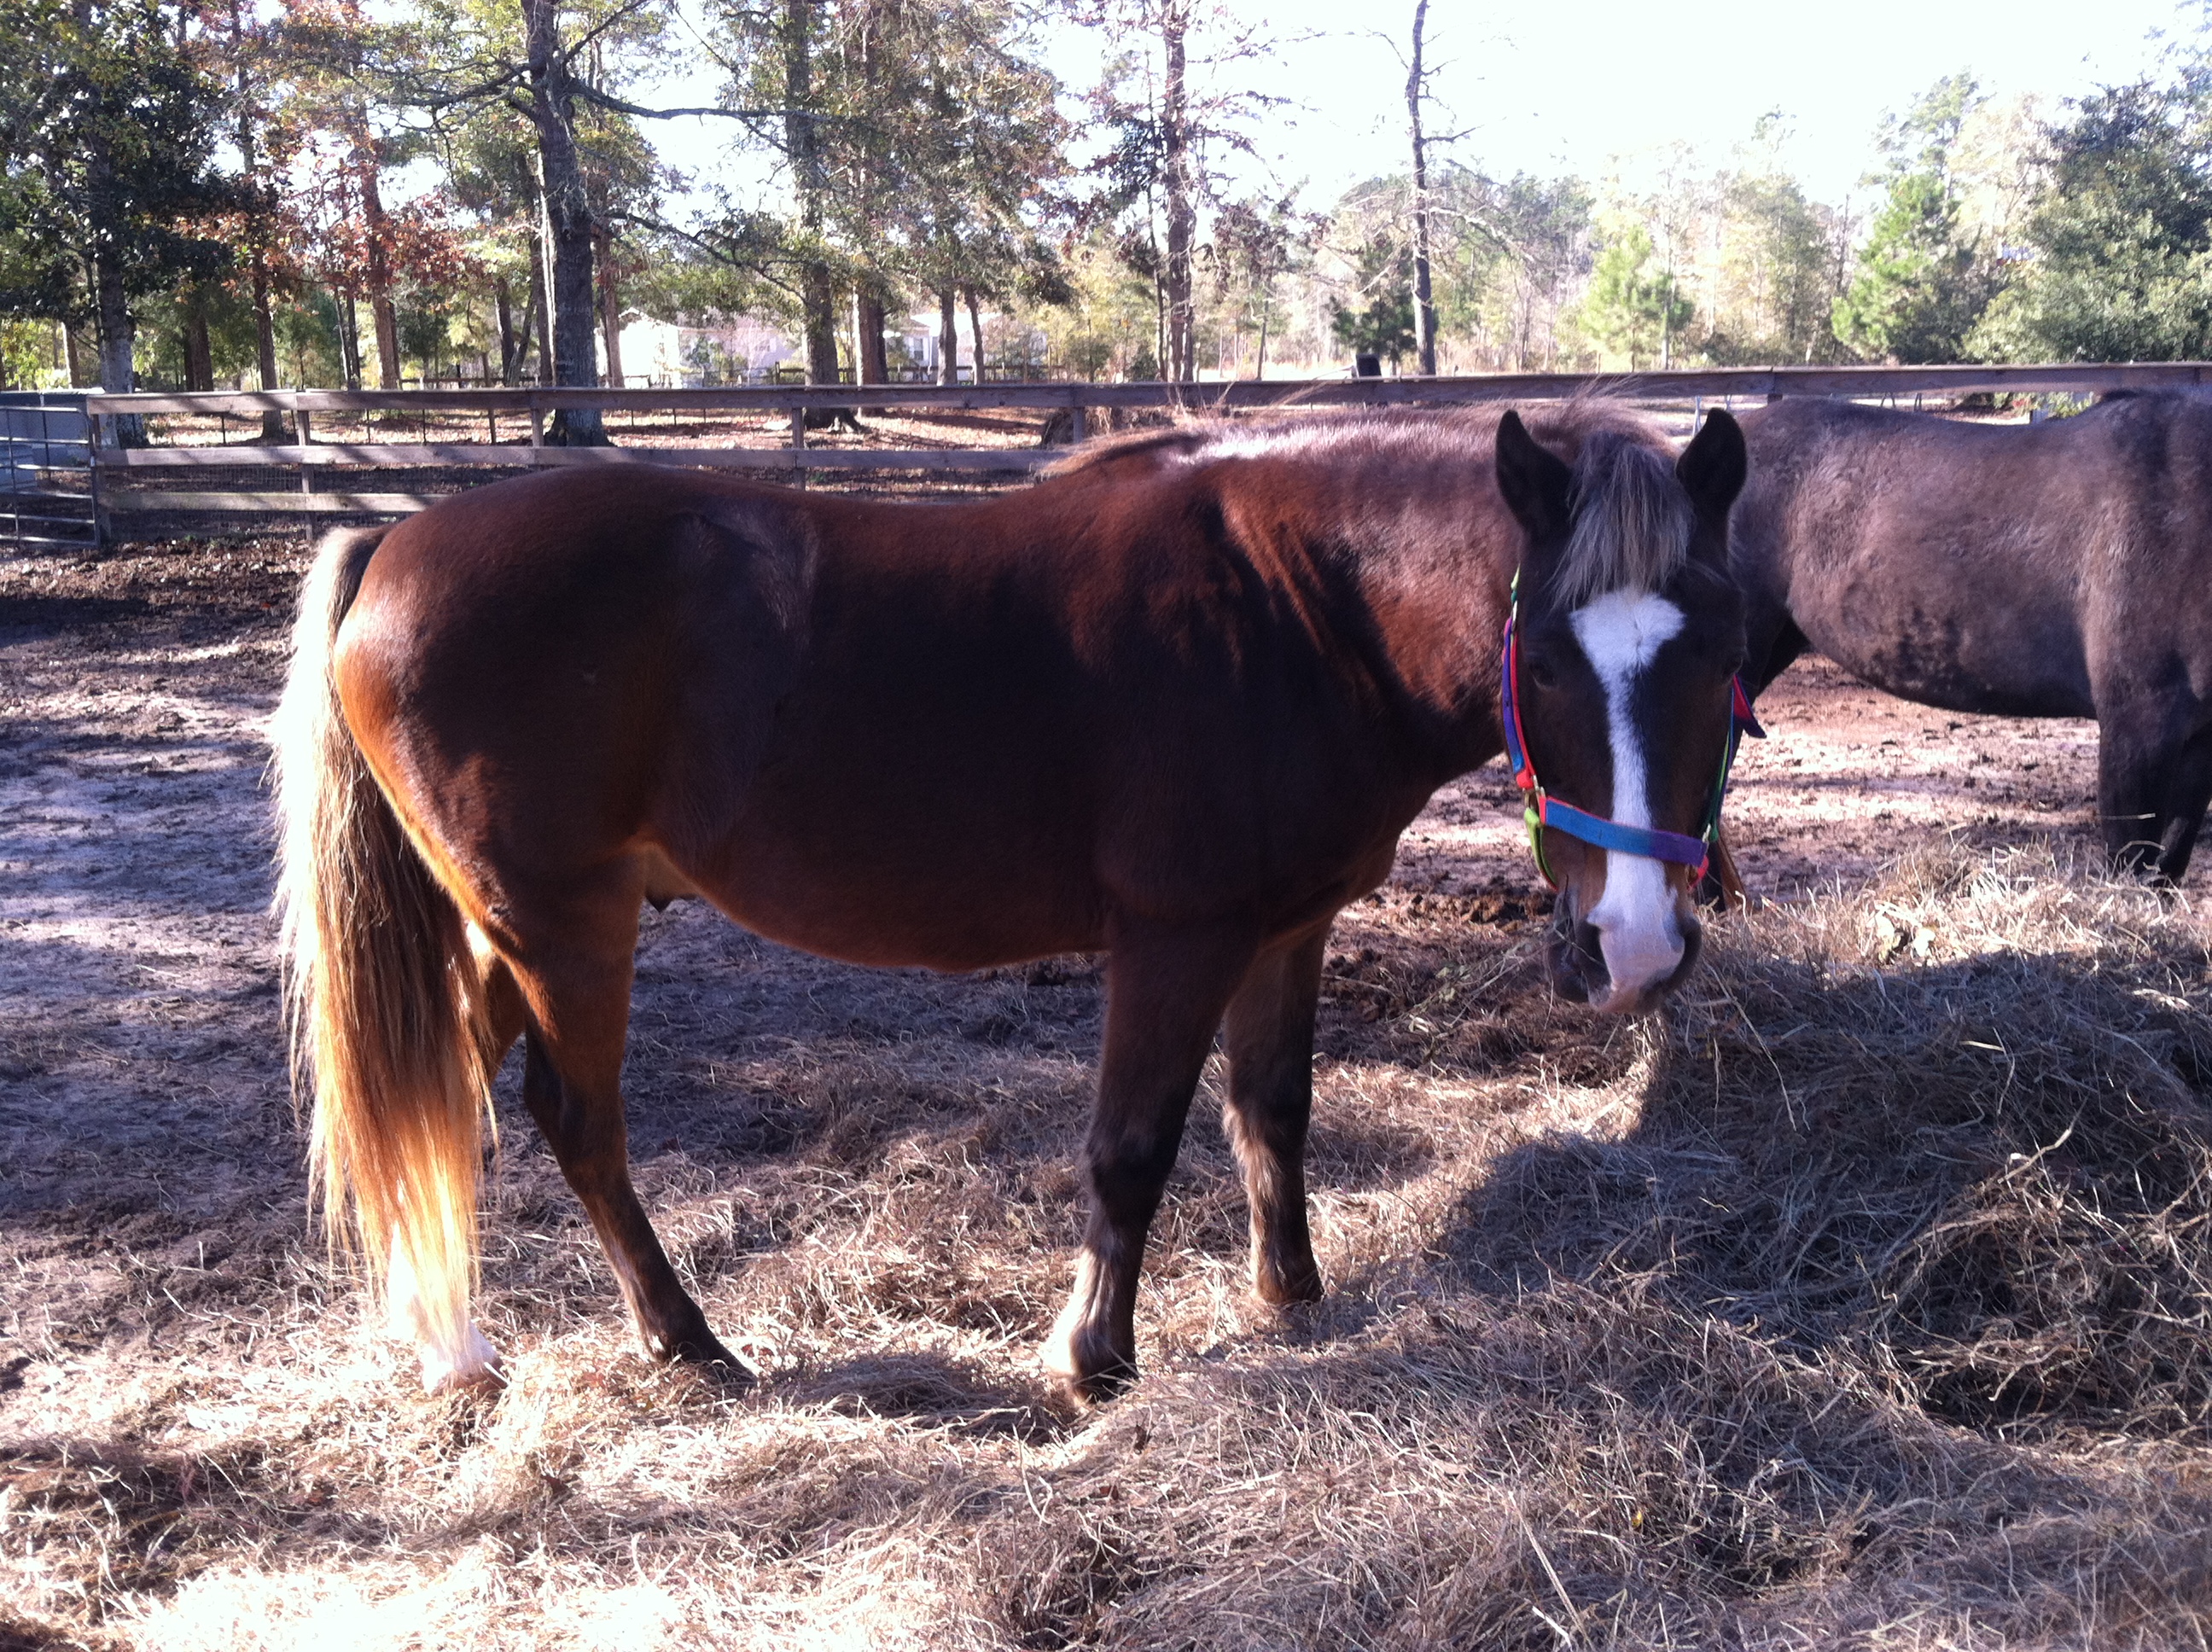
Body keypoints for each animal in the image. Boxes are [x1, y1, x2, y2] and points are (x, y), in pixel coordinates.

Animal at [271, 402, 1752, 1403]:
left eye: (1725, 650)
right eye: (1544, 659)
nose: (1630, 948)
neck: (1294, 610)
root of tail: (397, 541)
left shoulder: (1286, 928)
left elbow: (1272, 1113)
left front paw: (1293, 1299)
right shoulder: (1176, 940)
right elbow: (1132, 1148)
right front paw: (1094, 1360)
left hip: (503, 935)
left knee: (447, 1095)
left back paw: (458, 1347)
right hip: (565, 929)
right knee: (574, 1121)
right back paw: (686, 1345)